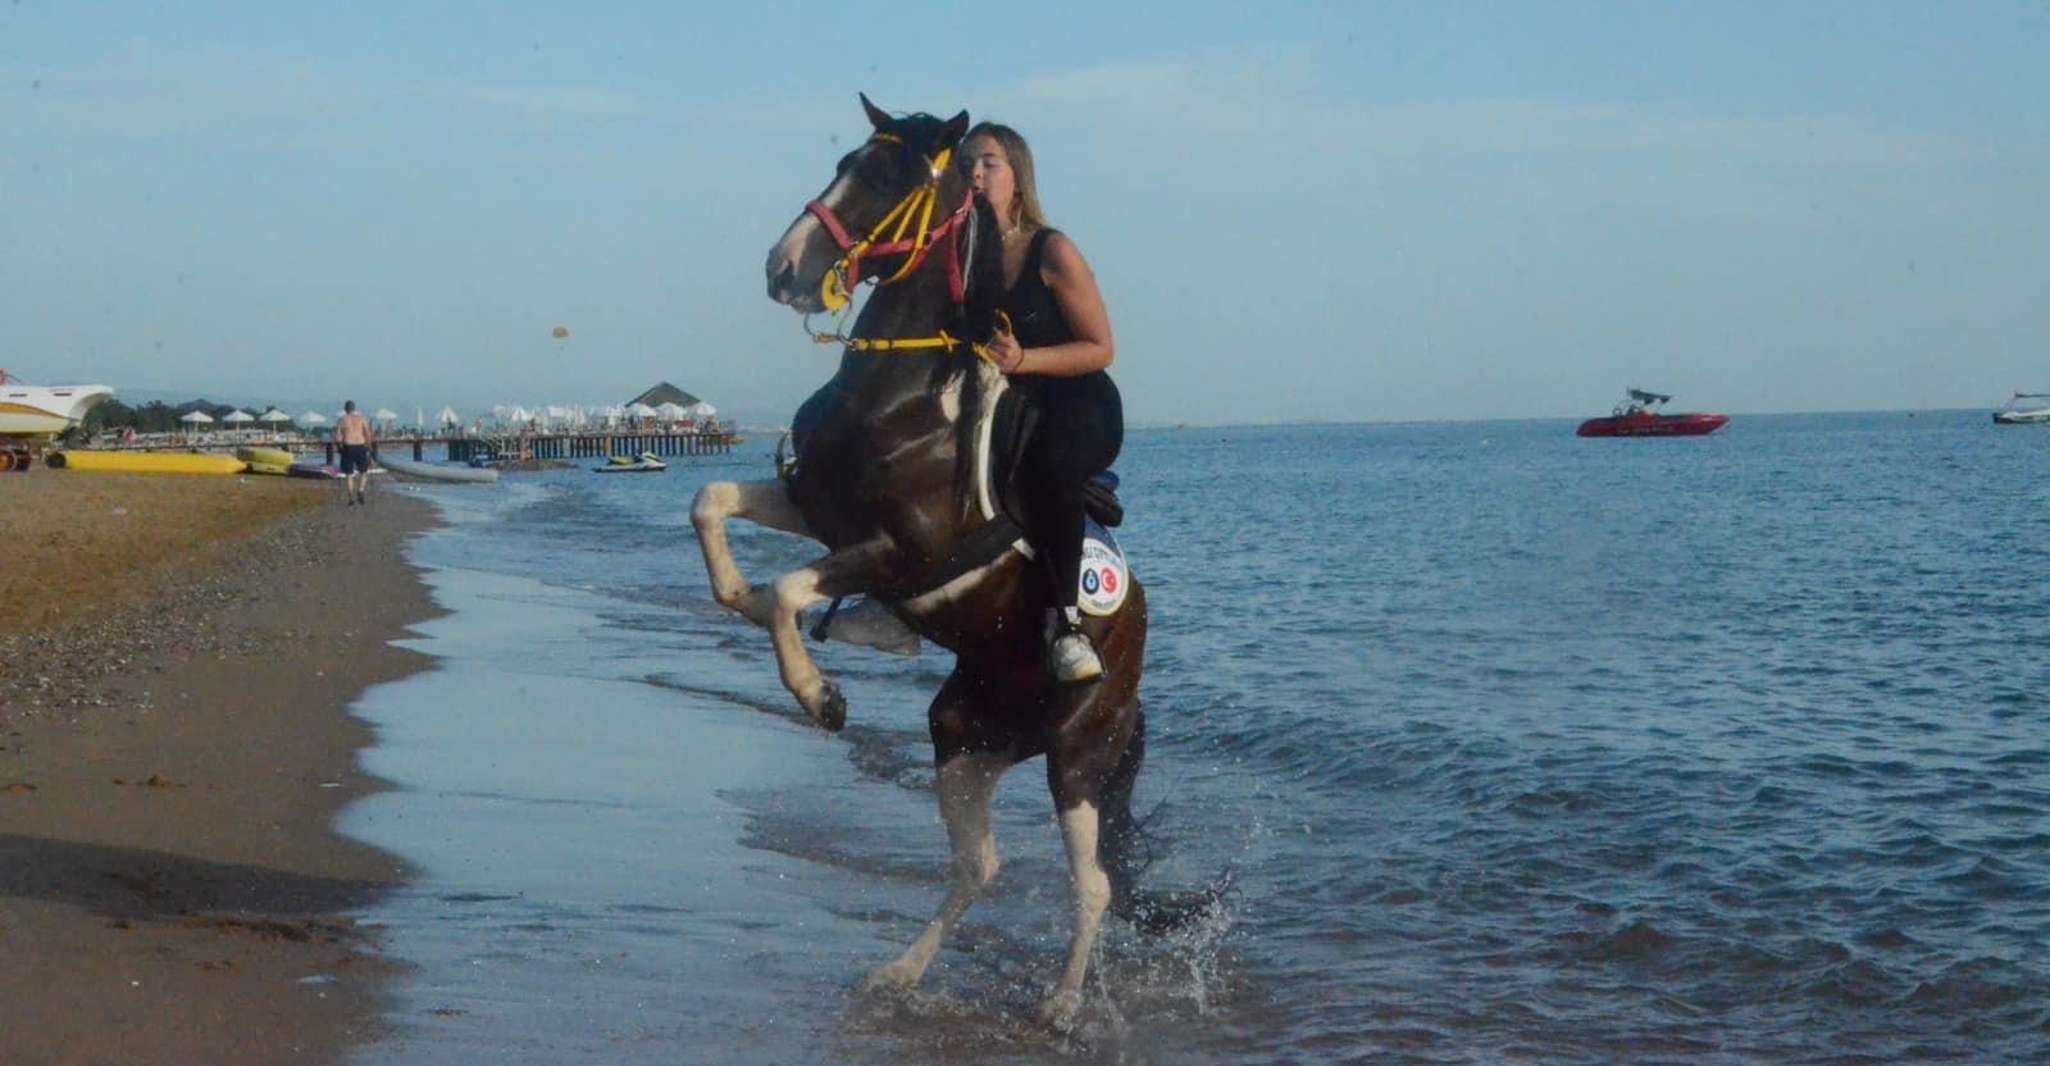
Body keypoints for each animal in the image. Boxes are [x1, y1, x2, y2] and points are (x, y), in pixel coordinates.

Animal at [691, 96, 1204, 1026]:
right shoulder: (819, 513)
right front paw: (738, 597)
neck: (898, 399)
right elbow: (710, 504)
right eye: (845, 161)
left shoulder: (898, 554)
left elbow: (788, 590)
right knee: (978, 867)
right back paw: (899, 974)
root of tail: (1131, 653)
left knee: (1094, 886)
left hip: (1079, 757)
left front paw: (820, 696)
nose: (784, 269)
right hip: (964, 739)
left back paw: (1063, 1006)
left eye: (888, 177)